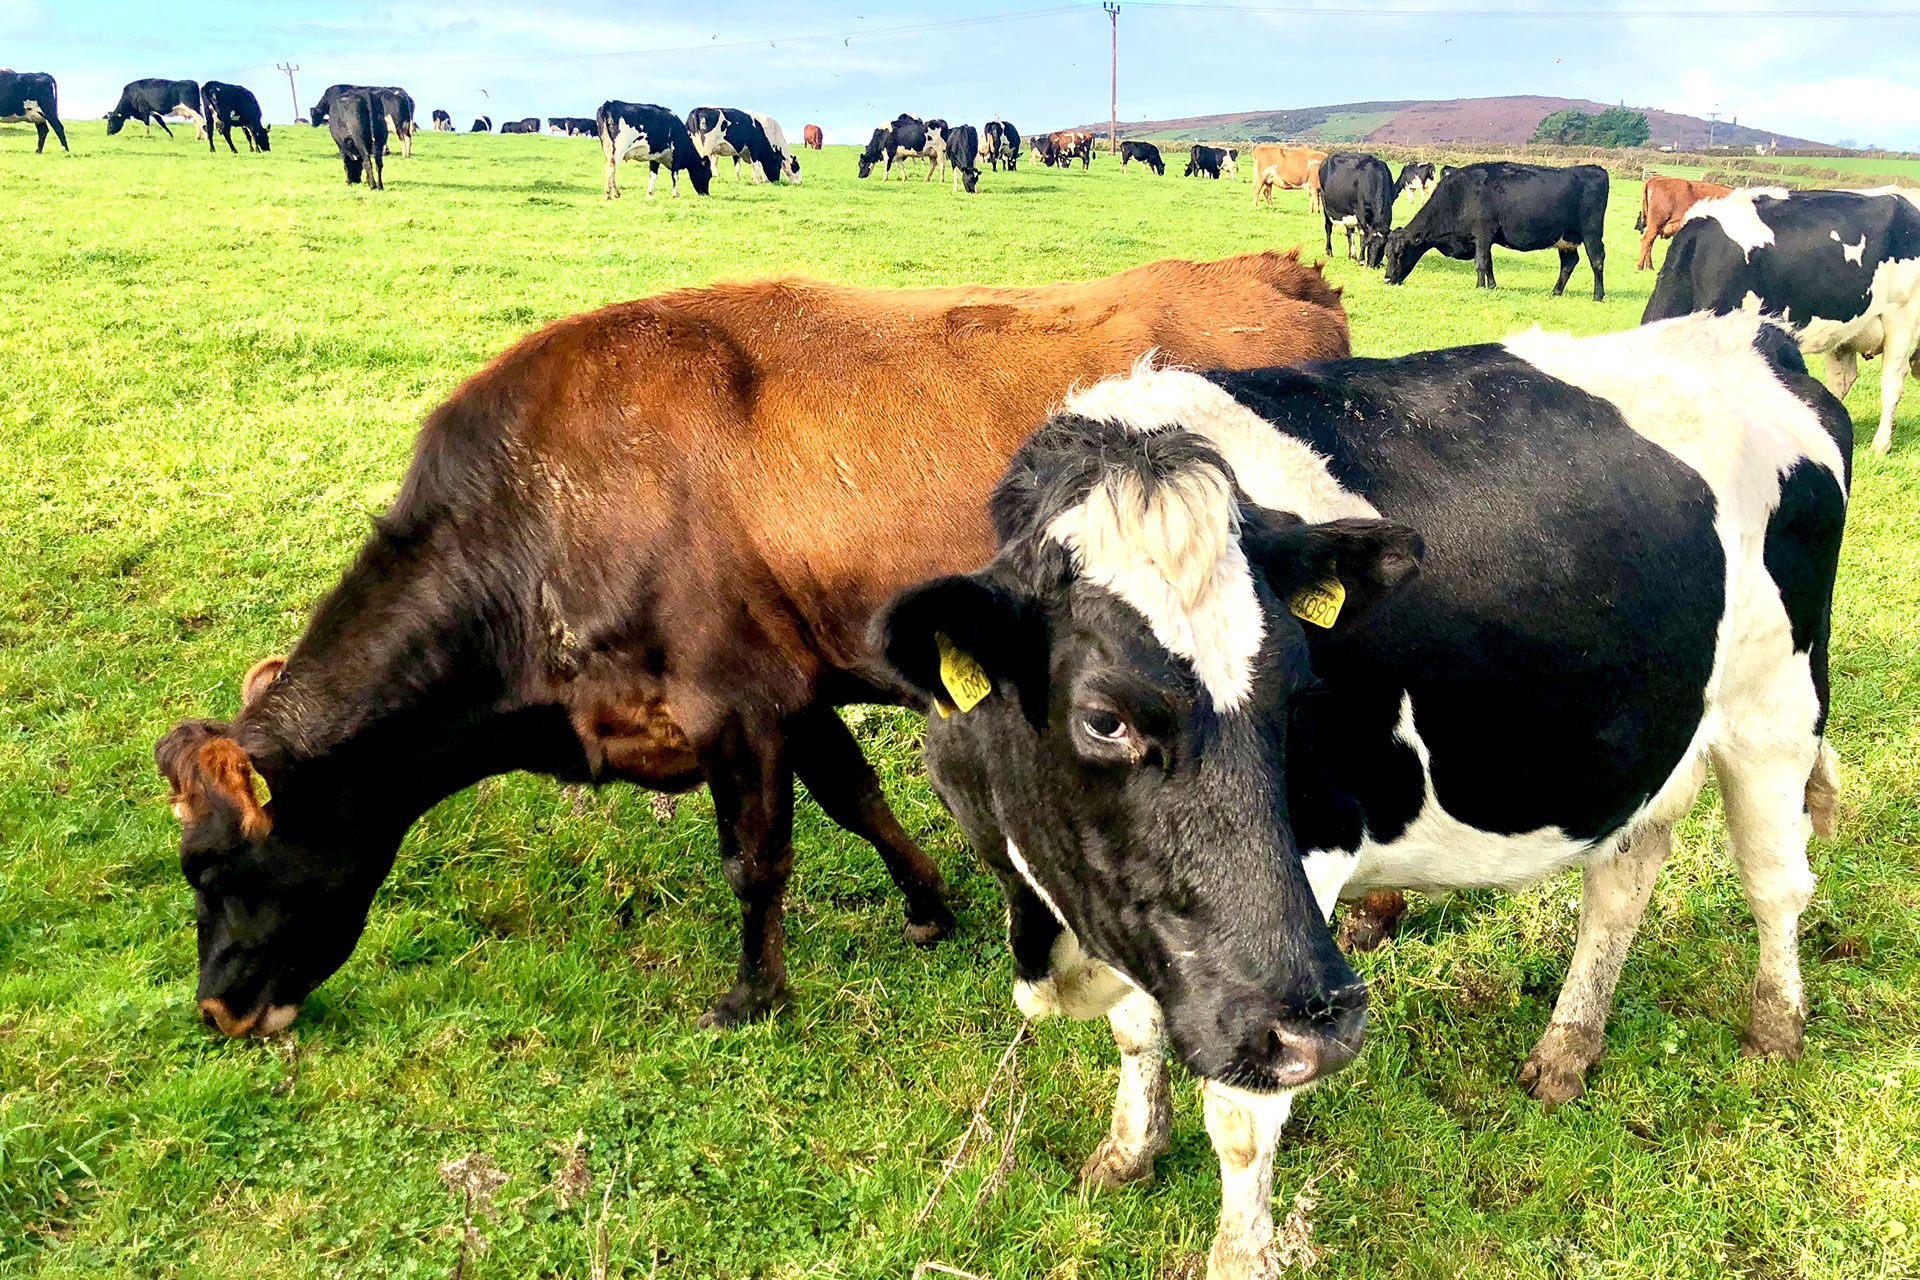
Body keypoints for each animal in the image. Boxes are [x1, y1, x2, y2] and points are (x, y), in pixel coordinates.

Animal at [152, 251, 1351, 1046]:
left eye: (207, 864)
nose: (217, 1007)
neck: (537, 524)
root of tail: (1277, 270)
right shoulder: (794, 690)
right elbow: (856, 797)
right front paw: (929, 905)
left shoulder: (734, 701)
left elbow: (755, 858)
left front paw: (753, 993)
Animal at [875, 310, 1848, 1280]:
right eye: (1103, 719)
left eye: (1302, 695)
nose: (1328, 1024)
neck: (1050, 919)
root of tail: (1752, 332)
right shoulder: (1148, 909)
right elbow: (1139, 1029)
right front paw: (1127, 1151)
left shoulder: (1296, 899)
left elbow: (1241, 1109)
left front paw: (1239, 1252)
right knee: (1622, 883)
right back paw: (1567, 1049)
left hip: (1777, 709)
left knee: (1775, 884)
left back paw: (1776, 1027)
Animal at [1383, 161, 1610, 300]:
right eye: (1386, 254)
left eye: (1400, 253)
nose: (1387, 279)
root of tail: (1594, 169)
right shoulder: (1482, 240)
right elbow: (1488, 264)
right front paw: (1491, 287)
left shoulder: (1483, 234)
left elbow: (1481, 264)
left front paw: (1479, 287)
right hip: (1566, 239)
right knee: (1569, 263)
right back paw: (1555, 292)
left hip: (1592, 232)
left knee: (1596, 260)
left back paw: (1598, 295)